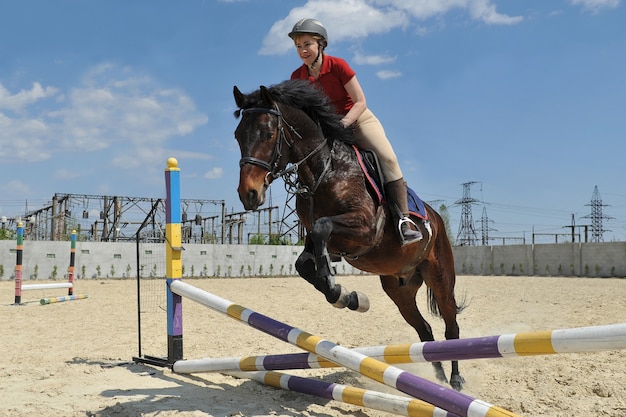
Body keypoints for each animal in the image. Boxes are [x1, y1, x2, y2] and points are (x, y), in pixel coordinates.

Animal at [233, 79, 464, 390]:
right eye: (237, 136)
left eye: (269, 133)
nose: (249, 194)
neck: (324, 170)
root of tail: (437, 219)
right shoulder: (316, 237)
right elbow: (304, 262)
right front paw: (347, 296)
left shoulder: (365, 230)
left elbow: (323, 230)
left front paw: (338, 290)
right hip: (399, 289)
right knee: (425, 330)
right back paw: (435, 378)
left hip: (440, 276)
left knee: (451, 325)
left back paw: (456, 380)